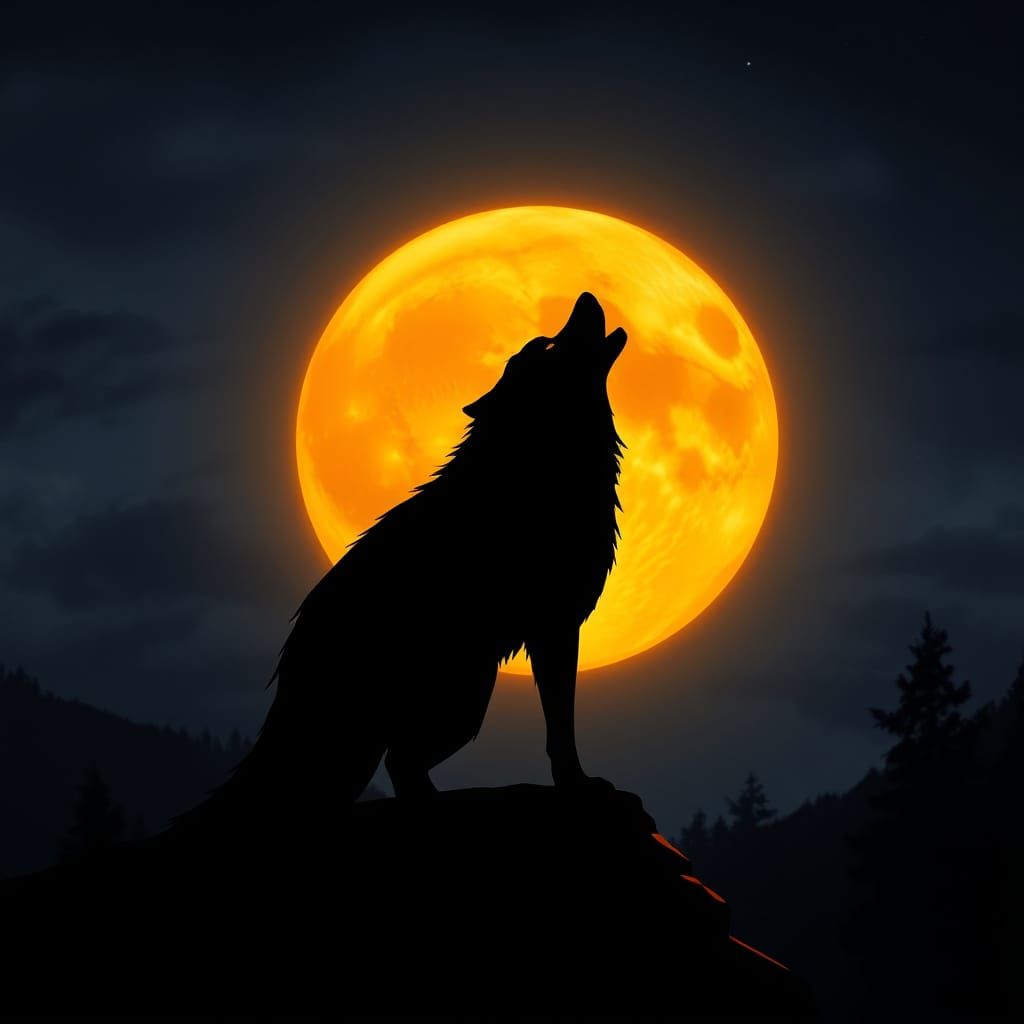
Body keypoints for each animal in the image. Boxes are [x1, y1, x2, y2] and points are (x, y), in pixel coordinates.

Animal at [190, 292, 626, 826]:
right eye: (546, 344)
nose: (585, 295)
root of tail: (294, 654)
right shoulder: (555, 628)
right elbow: (561, 728)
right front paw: (578, 785)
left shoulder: (556, 629)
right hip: (464, 696)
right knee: (396, 763)